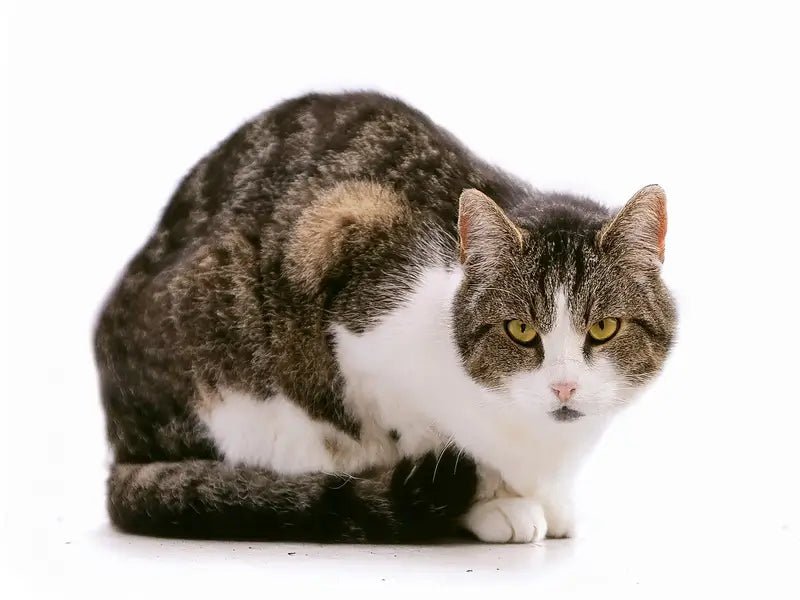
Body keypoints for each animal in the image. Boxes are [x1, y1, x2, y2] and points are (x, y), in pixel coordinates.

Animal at [94, 91, 677, 543]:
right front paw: (492, 502)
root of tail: (123, 444)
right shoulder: (349, 276)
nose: (564, 387)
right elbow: (420, 436)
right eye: (521, 330)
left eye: (603, 328)